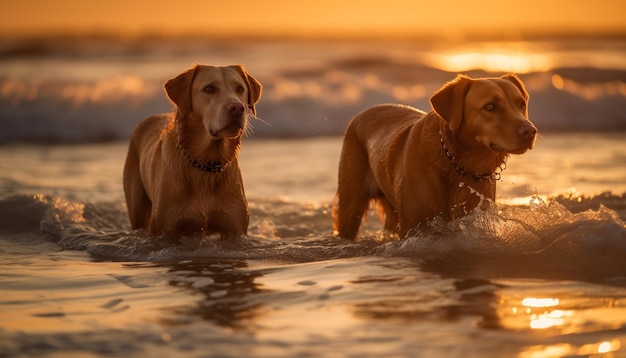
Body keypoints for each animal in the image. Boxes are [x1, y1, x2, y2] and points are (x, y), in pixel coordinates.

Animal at [332, 74, 536, 239]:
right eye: (490, 106)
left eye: (521, 104)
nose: (530, 131)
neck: (458, 162)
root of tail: (362, 112)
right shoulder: (413, 225)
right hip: (350, 206)